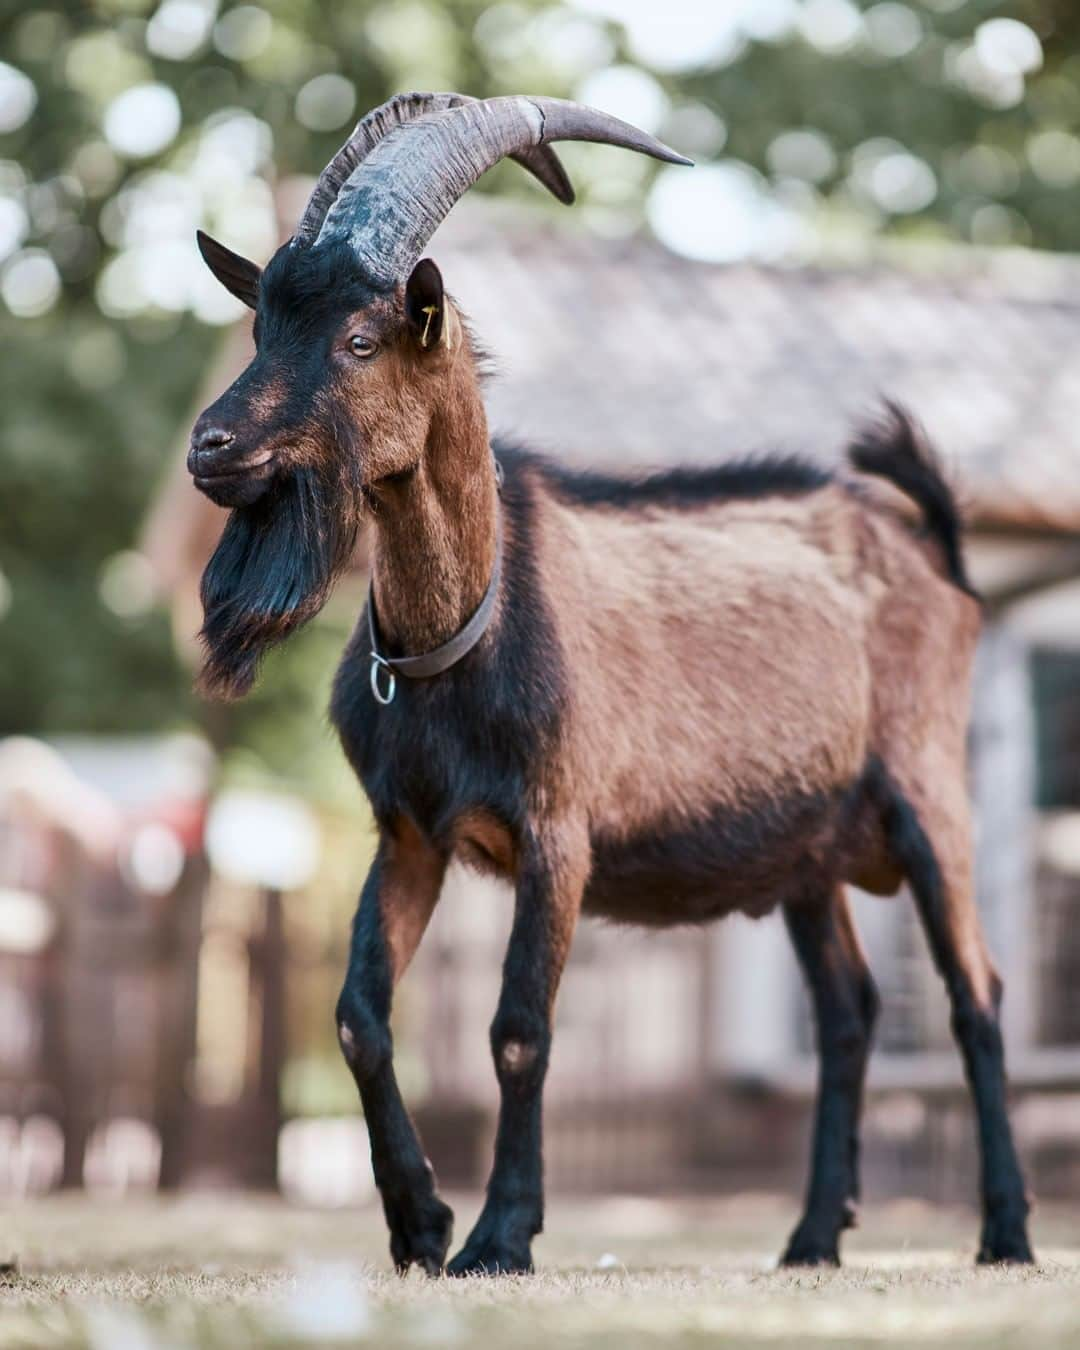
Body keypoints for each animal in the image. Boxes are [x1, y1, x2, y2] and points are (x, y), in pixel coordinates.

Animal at [190, 89, 1031, 1269]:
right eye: (262, 325)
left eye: (358, 338)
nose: (211, 447)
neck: (462, 638)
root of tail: (936, 552)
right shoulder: (408, 835)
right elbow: (359, 1015)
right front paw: (419, 1224)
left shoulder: (557, 832)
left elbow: (518, 1029)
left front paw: (500, 1234)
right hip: (810, 853)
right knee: (849, 1010)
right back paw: (812, 1236)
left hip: (928, 793)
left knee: (975, 996)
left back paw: (1004, 1232)